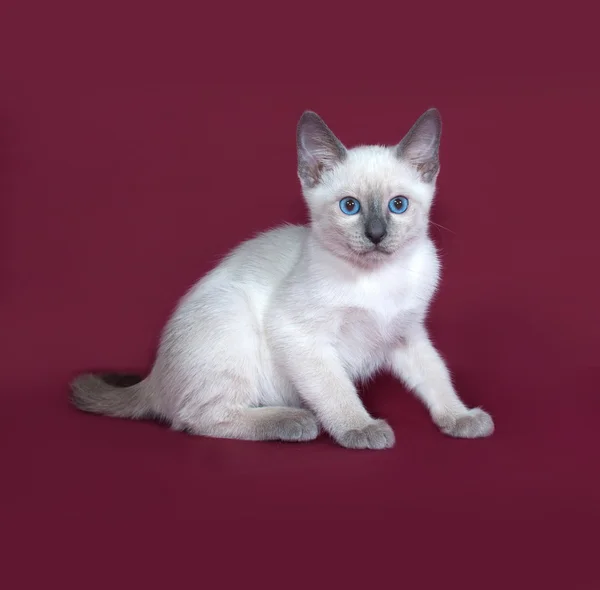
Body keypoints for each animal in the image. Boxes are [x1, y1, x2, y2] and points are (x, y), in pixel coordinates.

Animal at [71, 111, 492, 450]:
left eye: (398, 205)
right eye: (350, 207)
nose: (375, 234)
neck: (378, 279)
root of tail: (154, 377)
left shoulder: (406, 333)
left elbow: (436, 376)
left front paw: (461, 417)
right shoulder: (299, 336)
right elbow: (336, 390)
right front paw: (360, 428)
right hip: (232, 317)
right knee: (197, 418)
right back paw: (294, 421)